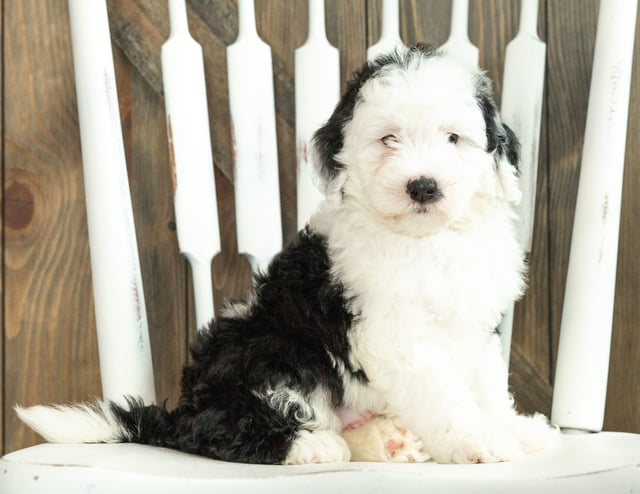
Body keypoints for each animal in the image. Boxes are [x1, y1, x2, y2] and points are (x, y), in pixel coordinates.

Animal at [15, 44, 556, 466]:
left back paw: (389, 441)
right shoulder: (394, 335)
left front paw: (516, 430)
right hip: (270, 350)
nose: (423, 186)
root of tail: (175, 411)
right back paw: (311, 447)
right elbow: (444, 395)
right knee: (215, 428)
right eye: (388, 139)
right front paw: (478, 442)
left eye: (453, 138)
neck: (426, 240)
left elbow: (487, 386)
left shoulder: (474, 326)